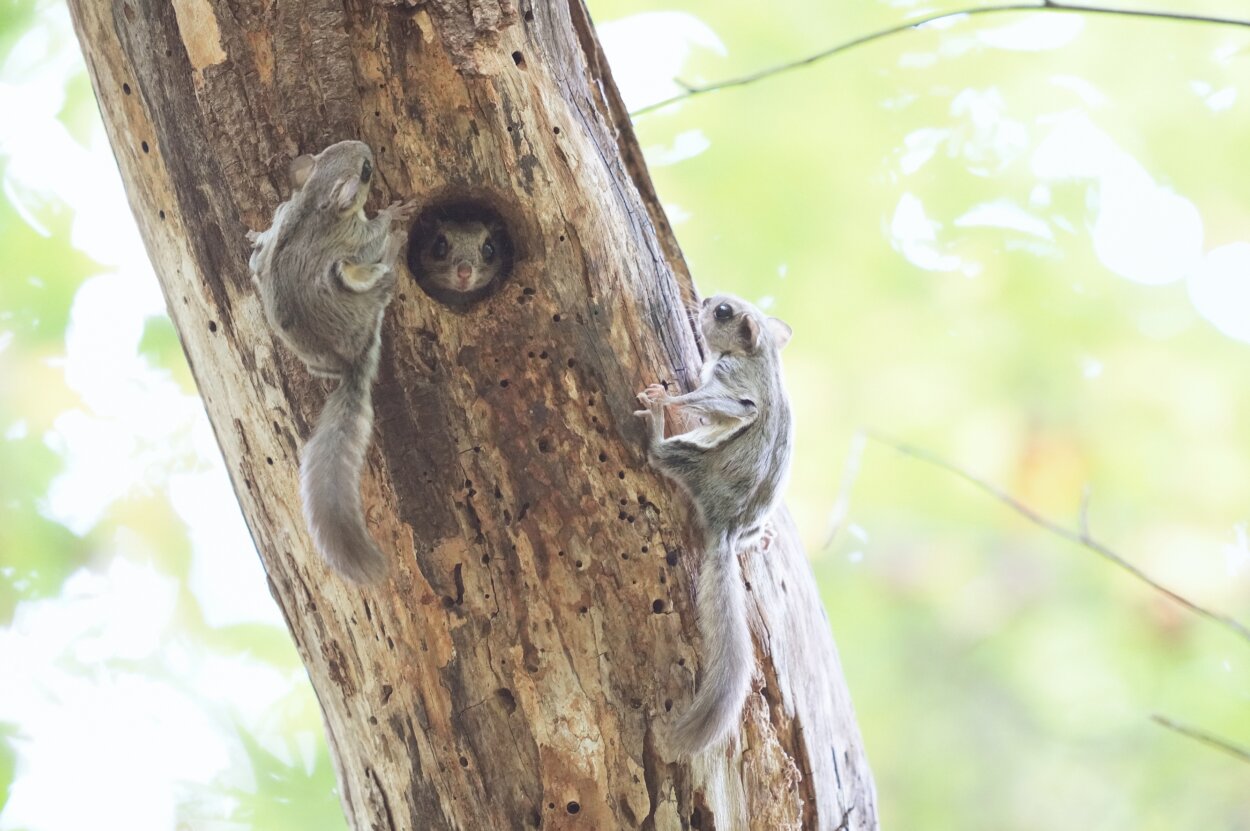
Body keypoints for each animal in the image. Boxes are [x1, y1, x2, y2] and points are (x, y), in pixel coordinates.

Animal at [247, 141, 415, 582]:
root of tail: (346, 364)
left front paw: (254, 238)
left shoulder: (285, 212)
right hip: (366, 285)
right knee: (384, 277)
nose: (364, 144)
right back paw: (397, 247)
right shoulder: (355, 239)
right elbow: (373, 234)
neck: (314, 205)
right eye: (366, 170)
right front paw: (395, 215)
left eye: (327, 149)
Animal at [640, 294, 795, 754]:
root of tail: (727, 527)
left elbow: (725, 406)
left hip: (689, 457)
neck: (761, 356)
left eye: (723, 312)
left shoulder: (731, 383)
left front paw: (665, 400)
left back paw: (655, 422)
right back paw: (762, 536)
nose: (706, 300)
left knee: (658, 454)